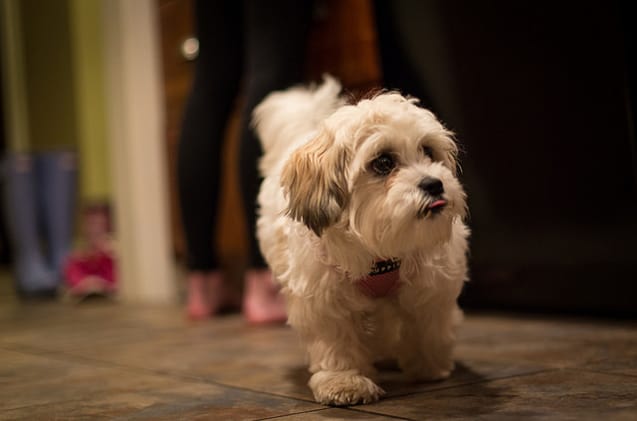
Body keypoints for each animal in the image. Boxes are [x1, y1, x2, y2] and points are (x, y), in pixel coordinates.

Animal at [252, 75, 468, 404]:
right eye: (383, 163)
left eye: (428, 151)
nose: (434, 183)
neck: (379, 249)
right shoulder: (325, 298)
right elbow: (337, 344)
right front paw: (345, 382)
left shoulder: (429, 287)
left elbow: (426, 325)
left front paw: (429, 366)